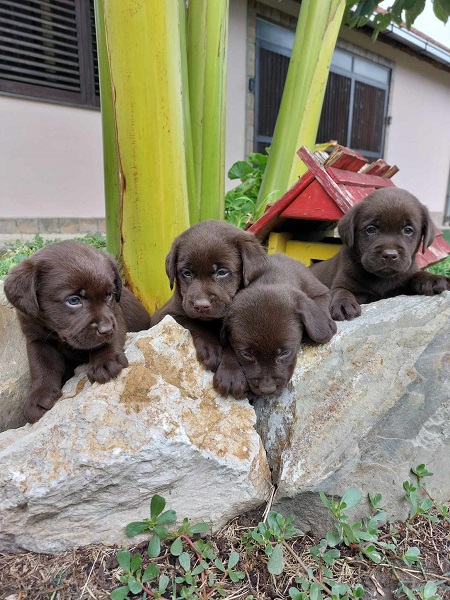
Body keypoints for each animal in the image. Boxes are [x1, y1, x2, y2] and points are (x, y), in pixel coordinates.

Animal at [3, 239, 151, 422]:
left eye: (109, 294)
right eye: (73, 300)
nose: (106, 329)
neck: (56, 332)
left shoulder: (115, 315)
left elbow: (108, 340)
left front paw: (105, 361)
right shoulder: (37, 338)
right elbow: (41, 367)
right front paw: (39, 396)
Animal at [151, 220, 268, 370]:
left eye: (222, 272)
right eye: (186, 273)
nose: (201, 306)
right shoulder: (164, 314)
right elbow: (194, 322)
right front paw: (210, 349)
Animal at [215, 253, 338, 398]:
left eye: (285, 353)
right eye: (246, 354)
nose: (267, 389)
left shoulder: (320, 291)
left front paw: (324, 326)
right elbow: (228, 345)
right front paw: (230, 372)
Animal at [310, 188, 450, 322]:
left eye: (408, 230)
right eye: (371, 229)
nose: (389, 255)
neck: (381, 279)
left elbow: (417, 275)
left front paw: (433, 279)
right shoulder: (343, 281)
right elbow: (341, 290)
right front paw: (343, 304)